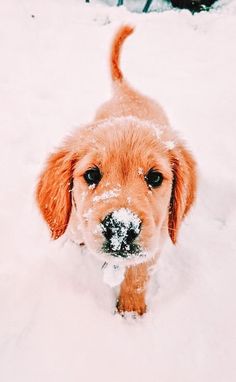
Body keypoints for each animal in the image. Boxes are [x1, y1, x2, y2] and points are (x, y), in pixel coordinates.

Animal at [36, 25, 196, 314]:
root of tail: (127, 90)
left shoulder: (156, 240)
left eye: (155, 177)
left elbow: (138, 275)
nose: (121, 226)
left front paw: (131, 312)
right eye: (91, 174)